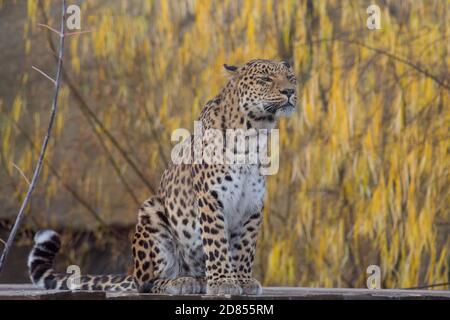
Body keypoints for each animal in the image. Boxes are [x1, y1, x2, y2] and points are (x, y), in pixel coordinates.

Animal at [27, 59, 296, 296]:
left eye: (291, 77)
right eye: (265, 79)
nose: (290, 91)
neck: (255, 132)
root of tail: (133, 273)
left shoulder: (252, 204)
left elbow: (245, 247)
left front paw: (242, 280)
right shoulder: (211, 198)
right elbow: (217, 242)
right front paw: (224, 282)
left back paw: (199, 280)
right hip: (151, 212)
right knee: (146, 284)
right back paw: (181, 282)